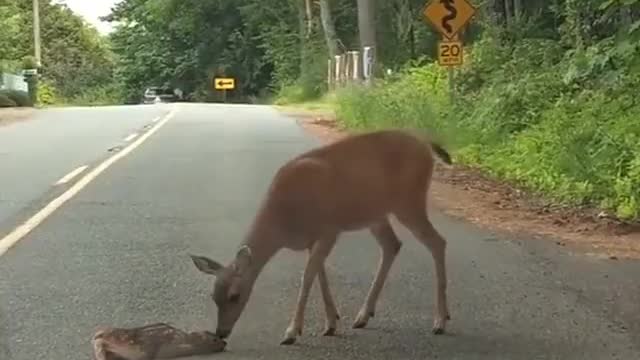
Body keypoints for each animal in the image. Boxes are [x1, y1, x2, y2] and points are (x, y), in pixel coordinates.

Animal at [189, 128, 450, 344]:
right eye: (213, 296)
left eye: (235, 295)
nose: (221, 333)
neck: (283, 223)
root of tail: (426, 144)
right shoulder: (312, 238)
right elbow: (319, 275)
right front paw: (331, 323)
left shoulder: (328, 229)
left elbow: (307, 277)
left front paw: (291, 332)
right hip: (377, 214)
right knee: (392, 245)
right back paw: (364, 316)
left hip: (409, 201)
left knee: (438, 242)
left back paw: (440, 321)